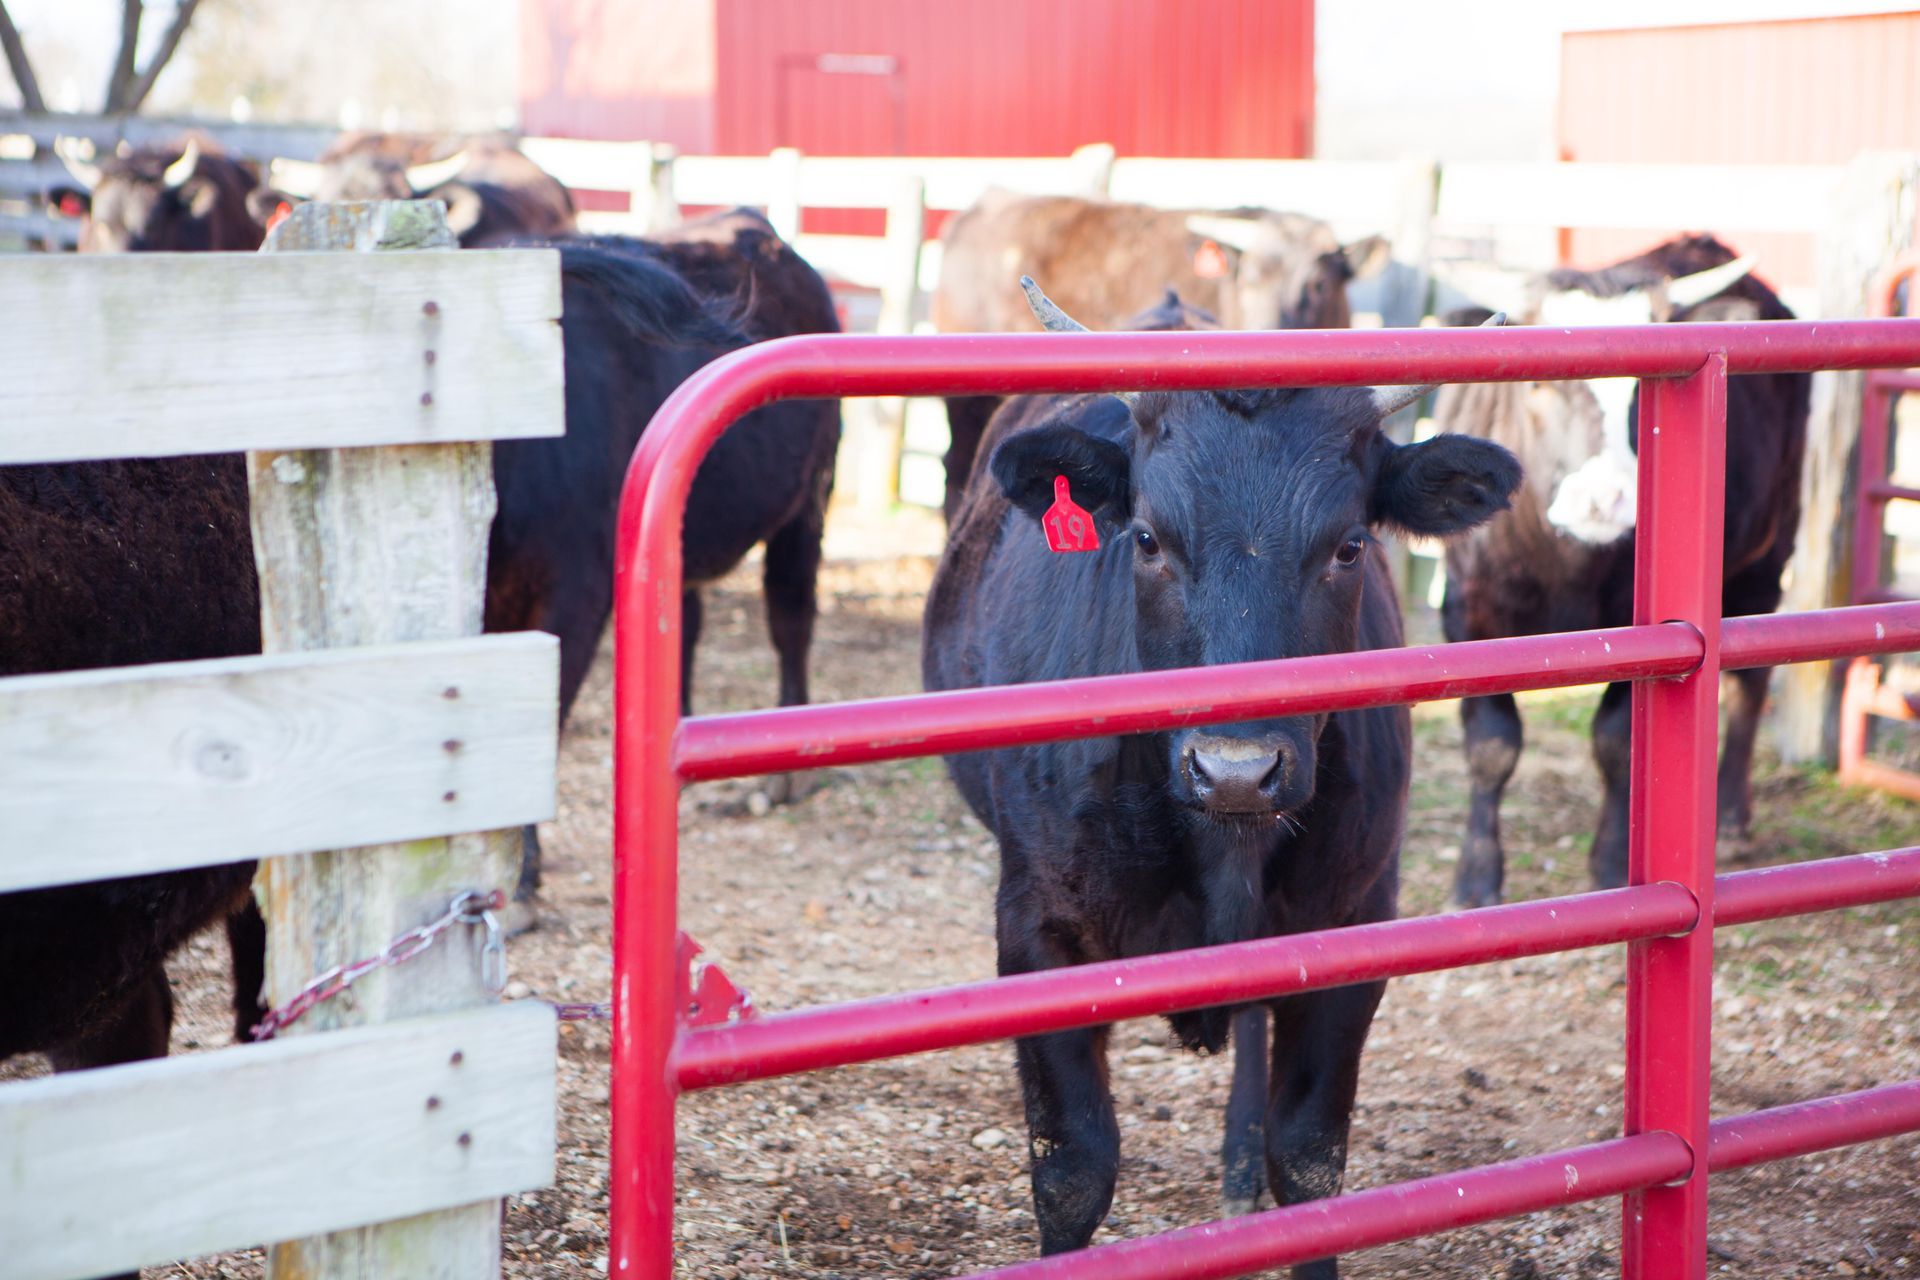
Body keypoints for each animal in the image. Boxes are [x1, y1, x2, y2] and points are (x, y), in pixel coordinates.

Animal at [924, 279, 1518, 1276]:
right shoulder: (1037, 928)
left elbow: (1310, 1164)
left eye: (1350, 546)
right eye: (1148, 539)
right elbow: (1072, 1168)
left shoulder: (1353, 922)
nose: (1238, 771)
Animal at [1434, 235, 1811, 908]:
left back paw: (1730, 817)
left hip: (1767, 559)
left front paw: (1611, 865)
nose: (1603, 499)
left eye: (1645, 386)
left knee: (1751, 684)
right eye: (1536, 384)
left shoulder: (1649, 636)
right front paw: (1476, 881)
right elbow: (1492, 747)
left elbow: (1616, 743)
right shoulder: (1468, 618)